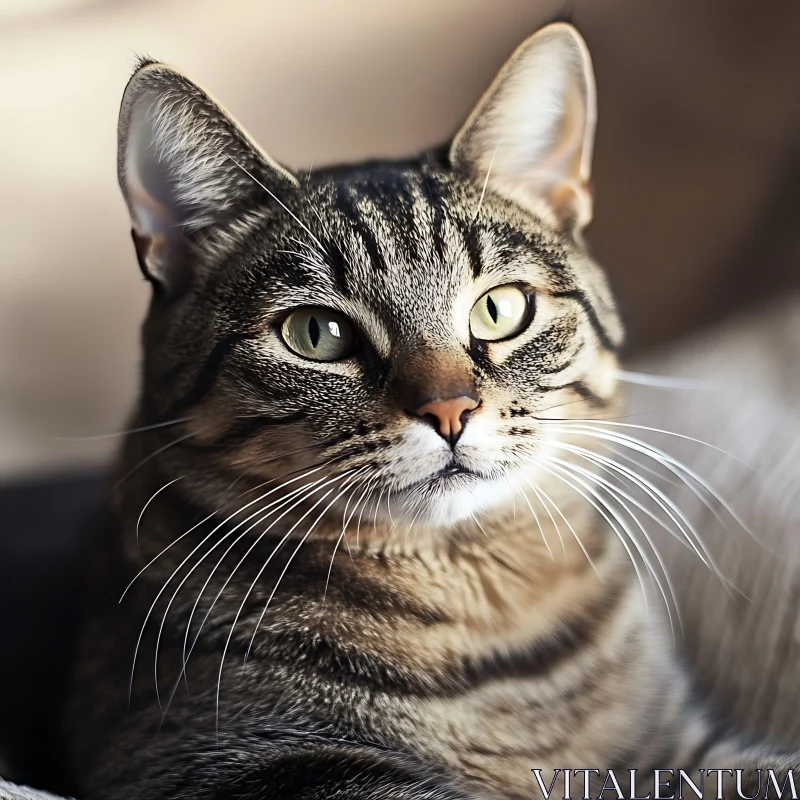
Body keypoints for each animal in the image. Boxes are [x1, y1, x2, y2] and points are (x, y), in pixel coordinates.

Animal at [67, 21, 800, 796]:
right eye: (316, 334)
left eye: (500, 309)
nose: (450, 411)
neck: (488, 621)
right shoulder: (217, 761)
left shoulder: (678, 751)